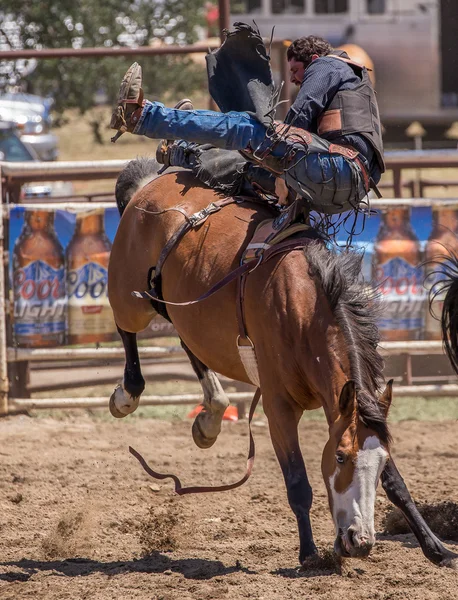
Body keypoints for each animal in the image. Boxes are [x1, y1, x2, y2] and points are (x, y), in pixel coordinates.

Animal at [108, 158, 458, 568]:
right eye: (339, 457)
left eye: (380, 459)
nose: (360, 541)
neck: (301, 311)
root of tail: (151, 183)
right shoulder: (278, 407)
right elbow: (298, 483)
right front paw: (309, 554)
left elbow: (397, 485)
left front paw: (437, 548)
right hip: (131, 297)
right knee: (126, 330)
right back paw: (126, 396)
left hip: (183, 312)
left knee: (187, 342)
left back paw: (211, 416)